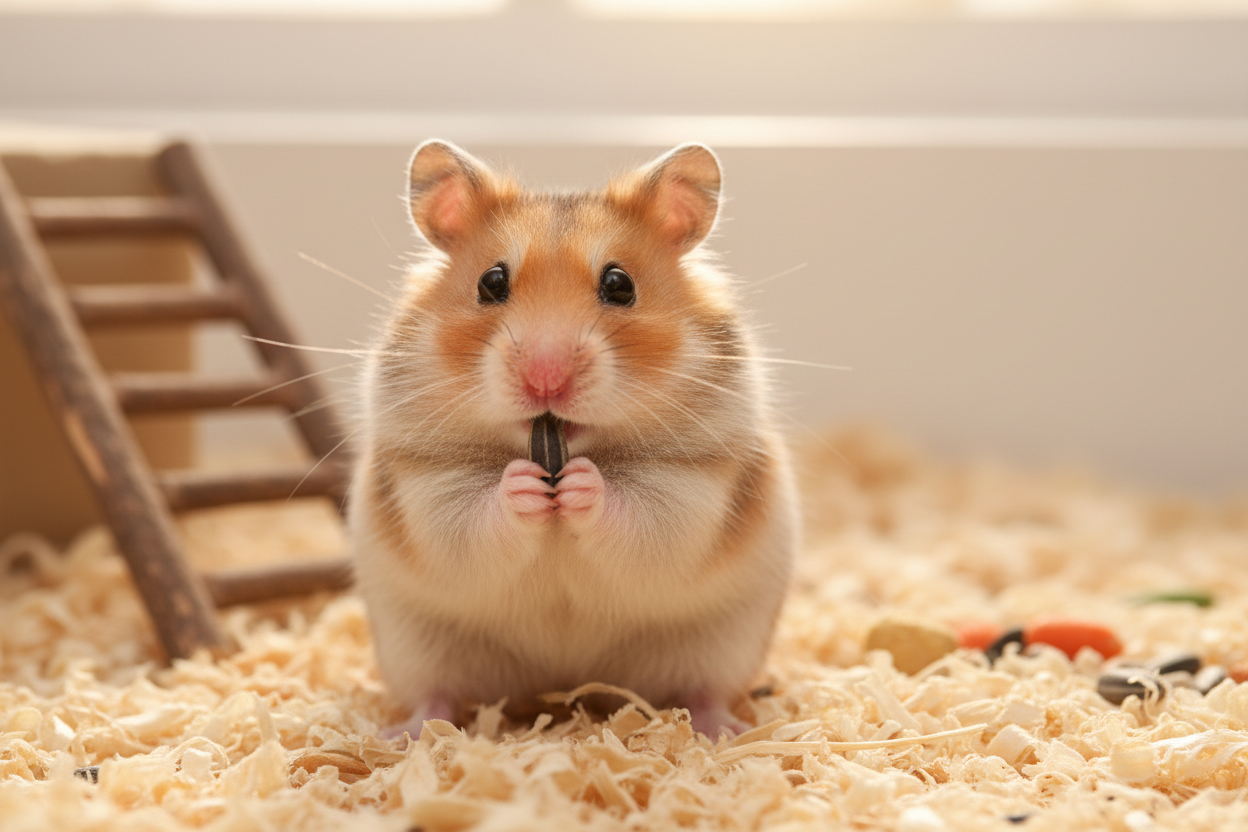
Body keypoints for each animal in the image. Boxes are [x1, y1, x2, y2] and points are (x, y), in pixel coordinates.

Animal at [349, 140, 797, 739]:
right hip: (417, 647)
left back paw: (724, 730)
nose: (546, 380)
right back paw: (403, 734)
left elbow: (647, 516)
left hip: (723, 644)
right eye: (491, 282)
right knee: (438, 695)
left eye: (619, 284)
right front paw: (524, 485)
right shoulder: (424, 482)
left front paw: (583, 484)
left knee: (703, 691)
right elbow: (468, 519)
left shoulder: (693, 484)